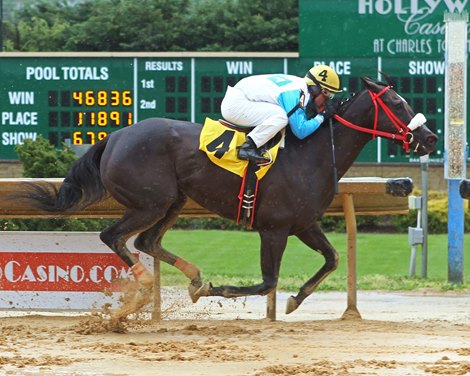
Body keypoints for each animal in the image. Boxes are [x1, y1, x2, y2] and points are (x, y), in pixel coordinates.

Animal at [22, 76, 436, 314]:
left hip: (173, 200)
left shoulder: (303, 224)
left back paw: (191, 275)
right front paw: (217, 289)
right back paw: (145, 285)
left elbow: (332, 259)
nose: (430, 137)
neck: (311, 154)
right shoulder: (274, 229)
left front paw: (295, 299)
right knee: (114, 236)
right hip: (151, 201)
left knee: (147, 240)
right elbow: (268, 281)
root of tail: (114, 136)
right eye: (397, 104)